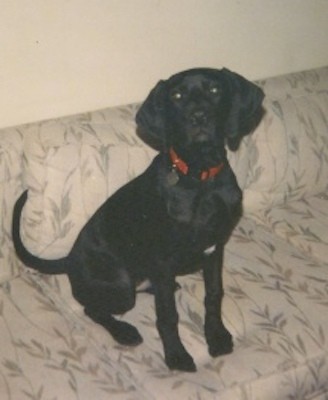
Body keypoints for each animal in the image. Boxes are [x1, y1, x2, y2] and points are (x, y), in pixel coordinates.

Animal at [12, 68, 264, 372]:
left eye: (215, 90)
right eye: (176, 95)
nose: (199, 117)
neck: (200, 179)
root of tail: (69, 259)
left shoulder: (214, 249)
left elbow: (214, 295)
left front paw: (216, 336)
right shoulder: (164, 260)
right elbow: (168, 315)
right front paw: (176, 355)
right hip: (120, 287)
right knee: (92, 307)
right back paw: (124, 331)